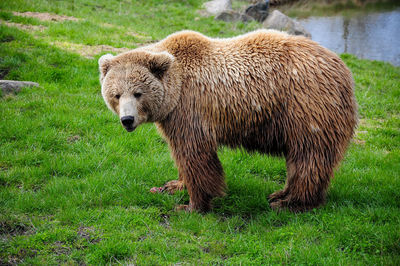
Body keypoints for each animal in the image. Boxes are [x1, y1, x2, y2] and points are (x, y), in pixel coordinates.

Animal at [98, 29, 358, 212]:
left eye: (138, 93)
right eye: (116, 94)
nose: (127, 119)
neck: (175, 91)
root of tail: (344, 69)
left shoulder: (191, 109)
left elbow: (195, 155)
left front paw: (191, 205)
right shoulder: (173, 116)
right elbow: (180, 155)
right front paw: (174, 185)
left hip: (306, 108)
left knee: (309, 157)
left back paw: (291, 202)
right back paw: (280, 194)